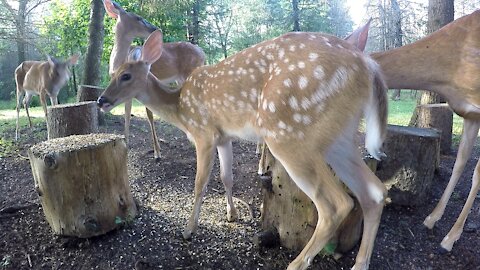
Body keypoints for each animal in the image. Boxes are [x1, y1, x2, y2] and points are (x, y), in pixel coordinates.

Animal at [99, 28, 388, 270]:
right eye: (113, 74)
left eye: (125, 75)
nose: (102, 100)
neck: (180, 108)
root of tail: (370, 67)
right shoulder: (224, 137)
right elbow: (227, 177)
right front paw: (232, 214)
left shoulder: (204, 133)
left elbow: (200, 183)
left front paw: (189, 230)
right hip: (339, 138)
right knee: (374, 192)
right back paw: (359, 265)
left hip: (289, 133)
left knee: (337, 203)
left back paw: (296, 264)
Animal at [103, 0, 204, 160]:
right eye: (138, 17)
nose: (154, 28)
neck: (118, 63)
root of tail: (202, 52)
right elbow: (127, 114)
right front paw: (126, 142)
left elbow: (149, 115)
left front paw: (157, 152)